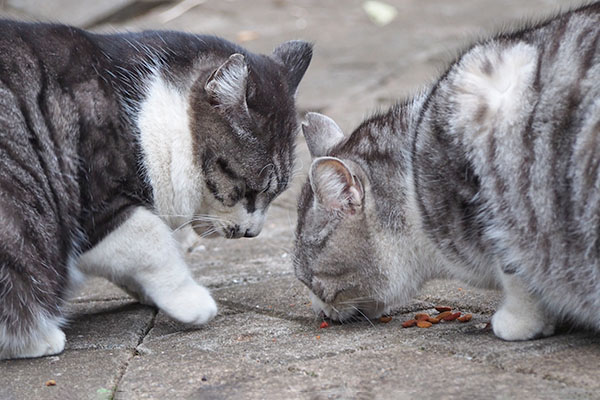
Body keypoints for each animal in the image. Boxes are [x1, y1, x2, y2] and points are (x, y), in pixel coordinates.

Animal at [0, 20, 310, 360]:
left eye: (275, 195)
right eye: (248, 190)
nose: (254, 233)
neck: (146, 115)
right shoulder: (95, 203)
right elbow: (152, 239)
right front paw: (189, 300)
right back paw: (38, 337)